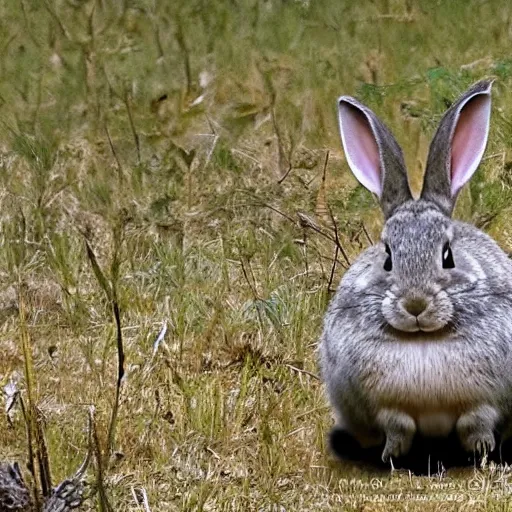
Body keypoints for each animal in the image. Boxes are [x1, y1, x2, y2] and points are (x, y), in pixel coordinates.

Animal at [318, 81, 512, 464]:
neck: (424, 338)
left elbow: (476, 423)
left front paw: (482, 454)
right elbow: (398, 427)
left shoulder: (483, 404)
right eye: (388, 257)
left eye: (448, 255)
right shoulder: (387, 409)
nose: (415, 304)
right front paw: (392, 457)